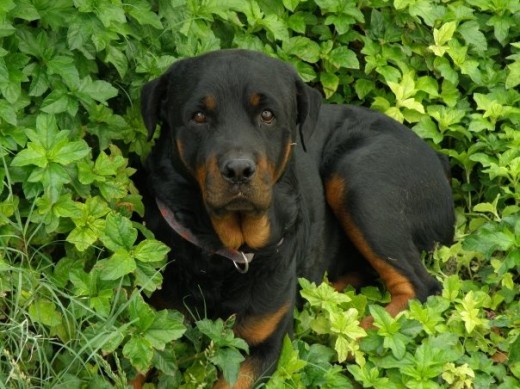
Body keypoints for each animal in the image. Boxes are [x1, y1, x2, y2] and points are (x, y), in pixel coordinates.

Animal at [138, 50, 456, 386]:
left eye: (267, 115)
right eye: (198, 116)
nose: (238, 169)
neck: (223, 255)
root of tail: (439, 158)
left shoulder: (262, 343)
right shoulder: (152, 317)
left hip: (361, 182)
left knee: (420, 286)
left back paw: (357, 338)